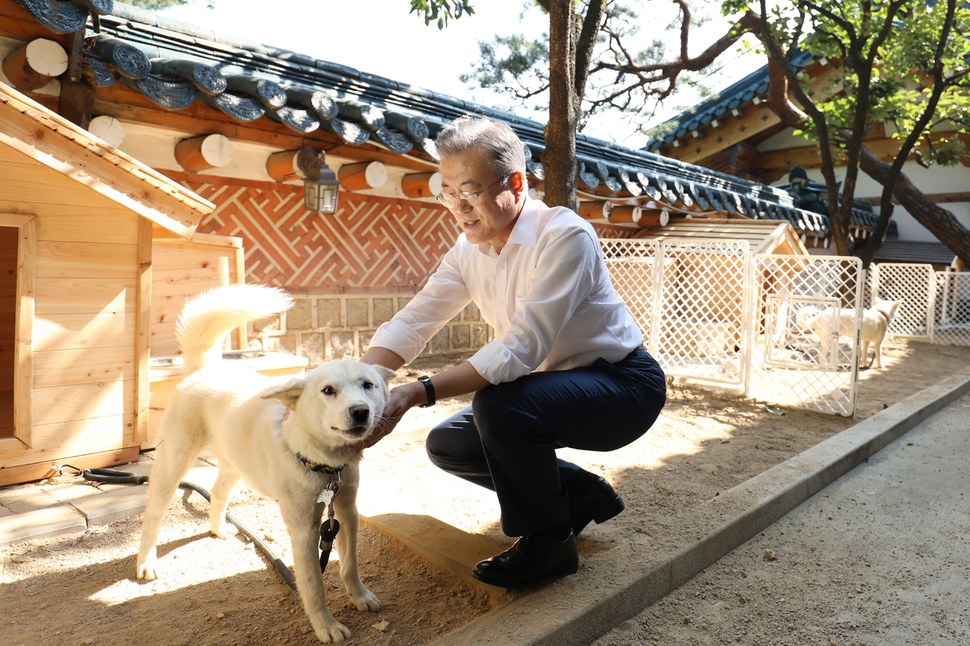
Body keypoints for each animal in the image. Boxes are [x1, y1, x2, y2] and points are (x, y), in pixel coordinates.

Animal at [135, 286, 394, 644]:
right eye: (328, 390)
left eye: (368, 385)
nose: (360, 411)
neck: (322, 464)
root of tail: (206, 370)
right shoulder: (303, 529)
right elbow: (313, 584)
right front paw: (325, 625)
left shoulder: (346, 512)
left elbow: (350, 564)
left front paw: (360, 596)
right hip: (172, 468)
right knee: (152, 517)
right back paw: (146, 563)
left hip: (234, 466)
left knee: (217, 493)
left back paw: (219, 528)